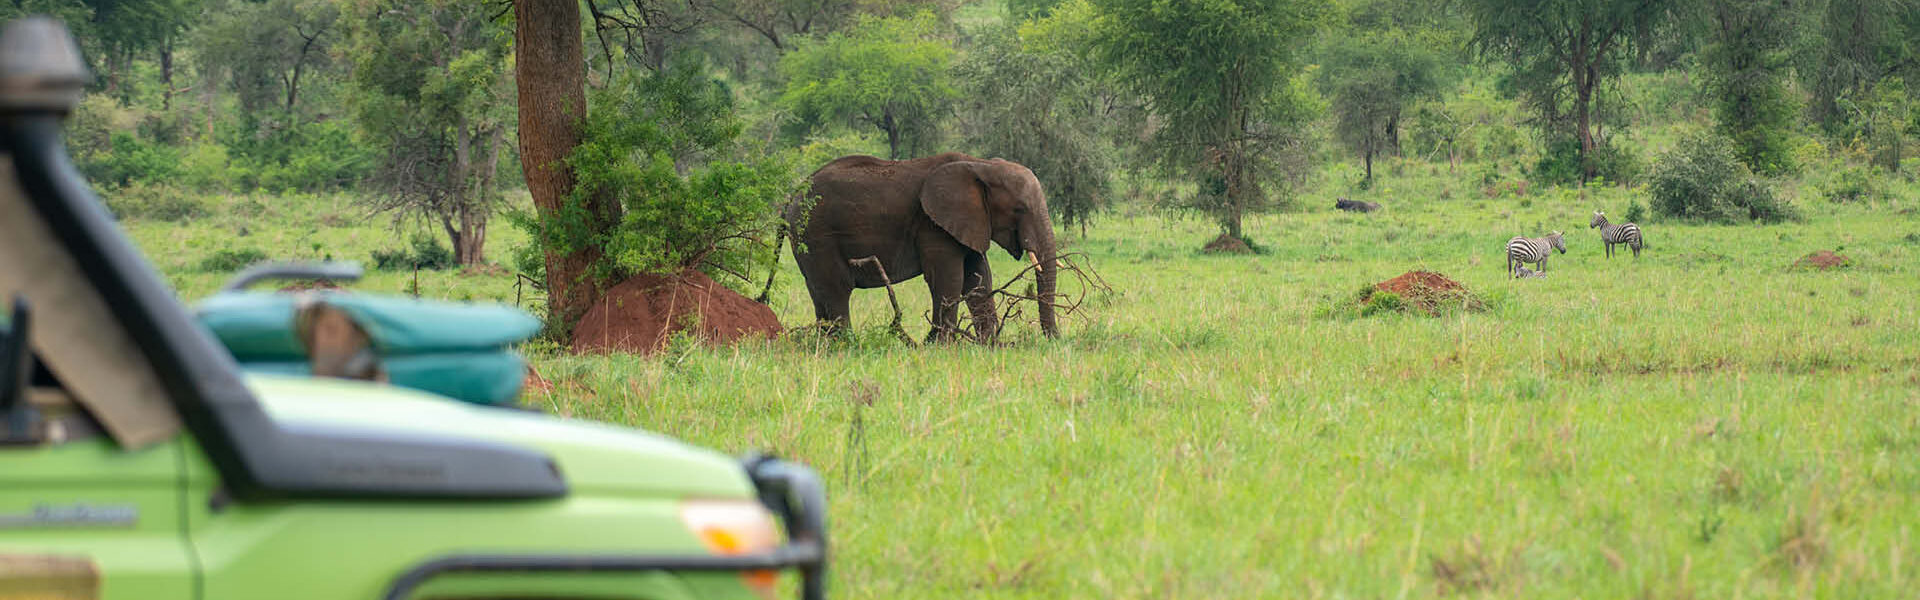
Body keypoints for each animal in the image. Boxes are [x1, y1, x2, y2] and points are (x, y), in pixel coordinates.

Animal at [784, 152, 1059, 343]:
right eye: (1020, 209)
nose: (1054, 339)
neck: (980, 165)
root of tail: (793, 195)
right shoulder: (932, 223)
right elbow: (949, 277)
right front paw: (939, 345)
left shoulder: (969, 221)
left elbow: (978, 277)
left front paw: (989, 343)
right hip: (817, 234)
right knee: (837, 288)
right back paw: (846, 344)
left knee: (819, 291)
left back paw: (824, 344)